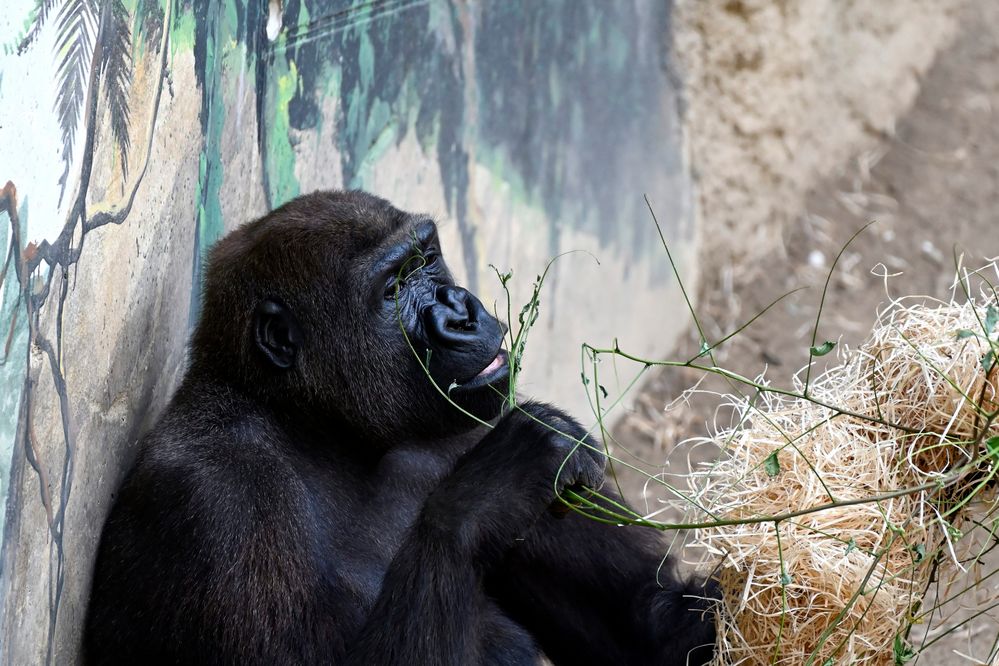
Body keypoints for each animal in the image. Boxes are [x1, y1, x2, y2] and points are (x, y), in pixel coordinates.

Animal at [82, 189, 716, 660]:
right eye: (392, 290)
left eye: (429, 259)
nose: (460, 310)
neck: (314, 427)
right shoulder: (220, 495)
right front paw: (494, 487)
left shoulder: (469, 418)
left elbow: (649, 623)